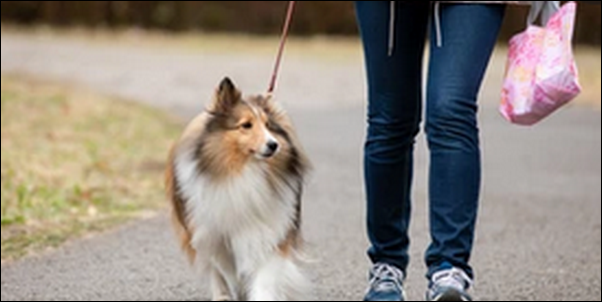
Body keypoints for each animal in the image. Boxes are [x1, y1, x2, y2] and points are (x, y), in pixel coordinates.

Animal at [166, 77, 312, 300]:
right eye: (246, 125)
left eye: (268, 125)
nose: (274, 145)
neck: (245, 172)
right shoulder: (213, 235)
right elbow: (224, 269)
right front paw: (233, 289)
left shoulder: (271, 228)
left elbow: (265, 274)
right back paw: (222, 295)